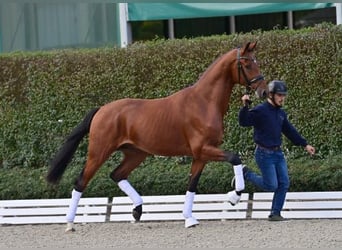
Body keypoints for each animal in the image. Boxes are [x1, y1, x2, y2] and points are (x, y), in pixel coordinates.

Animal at [45, 41, 268, 230]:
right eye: (247, 64)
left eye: (257, 61)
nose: (264, 91)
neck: (204, 102)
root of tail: (102, 110)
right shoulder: (203, 150)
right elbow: (235, 158)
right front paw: (234, 196)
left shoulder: (201, 156)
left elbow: (192, 184)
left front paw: (189, 218)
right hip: (99, 152)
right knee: (81, 182)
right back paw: (70, 223)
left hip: (136, 153)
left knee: (117, 174)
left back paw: (138, 210)